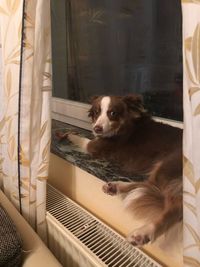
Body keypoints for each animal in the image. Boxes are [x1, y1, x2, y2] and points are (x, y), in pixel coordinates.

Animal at [58, 94, 183, 247]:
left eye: (112, 113)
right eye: (96, 112)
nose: (97, 128)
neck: (122, 126)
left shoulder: (94, 146)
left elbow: (80, 138)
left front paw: (68, 134)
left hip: (166, 165)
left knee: (166, 199)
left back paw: (144, 232)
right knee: (151, 186)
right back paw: (115, 186)